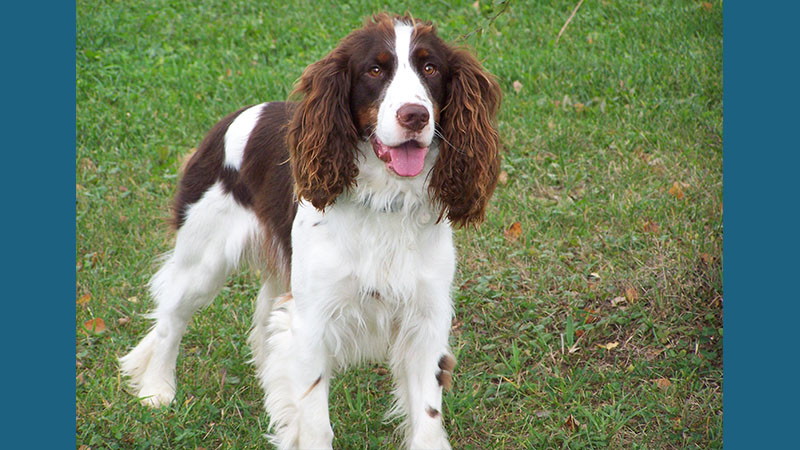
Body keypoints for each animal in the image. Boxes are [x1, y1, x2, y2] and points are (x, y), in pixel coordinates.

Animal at [120, 12, 500, 448]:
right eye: (374, 70)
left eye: (431, 68)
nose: (415, 116)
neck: (385, 200)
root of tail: (233, 119)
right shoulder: (313, 322)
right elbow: (316, 420)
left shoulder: (426, 320)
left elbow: (427, 417)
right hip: (202, 260)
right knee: (171, 317)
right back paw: (157, 389)